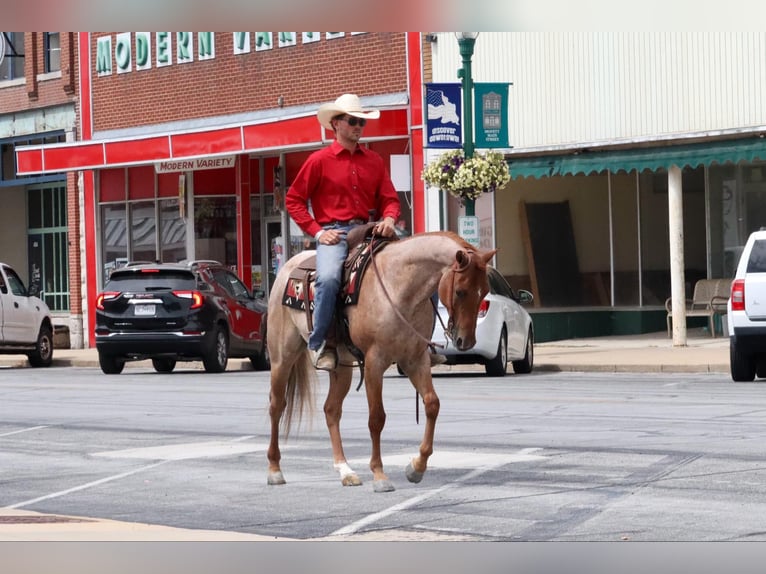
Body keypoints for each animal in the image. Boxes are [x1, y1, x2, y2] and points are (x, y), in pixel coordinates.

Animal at [268, 232, 498, 492]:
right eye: (460, 291)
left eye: (484, 291)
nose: (466, 341)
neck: (399, 288)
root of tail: (287, 267)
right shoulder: (374, 362)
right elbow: (377, 418)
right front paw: (379, 474)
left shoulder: (415, 359)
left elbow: (432, 404)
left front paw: (416, 467)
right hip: (282, 357)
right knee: (277, 406)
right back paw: (274, 470)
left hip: (341, 369)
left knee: (331, 410)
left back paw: (345, 471)